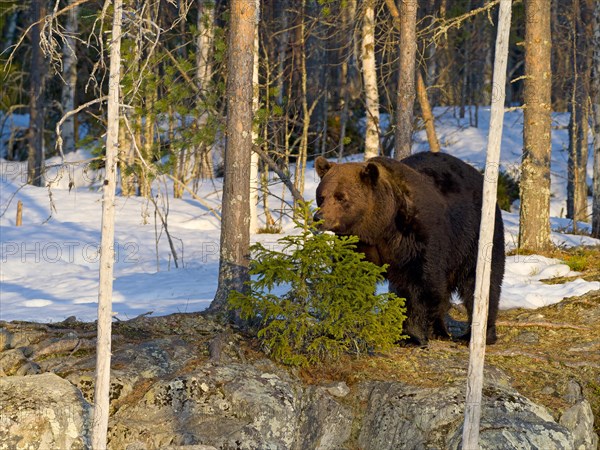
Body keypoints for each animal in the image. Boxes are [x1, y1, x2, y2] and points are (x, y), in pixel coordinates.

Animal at [314, 153, 506, 346]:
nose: (319, 218)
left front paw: (410, 336)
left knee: (480, 283)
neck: (379, 227)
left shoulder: (415, 235)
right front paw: (342, 328)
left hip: (474, 237)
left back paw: (477, 335)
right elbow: (352, 278)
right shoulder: (357, 244)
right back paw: (440, 331)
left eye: (341, 197)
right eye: (321, 196)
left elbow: (419, 284)